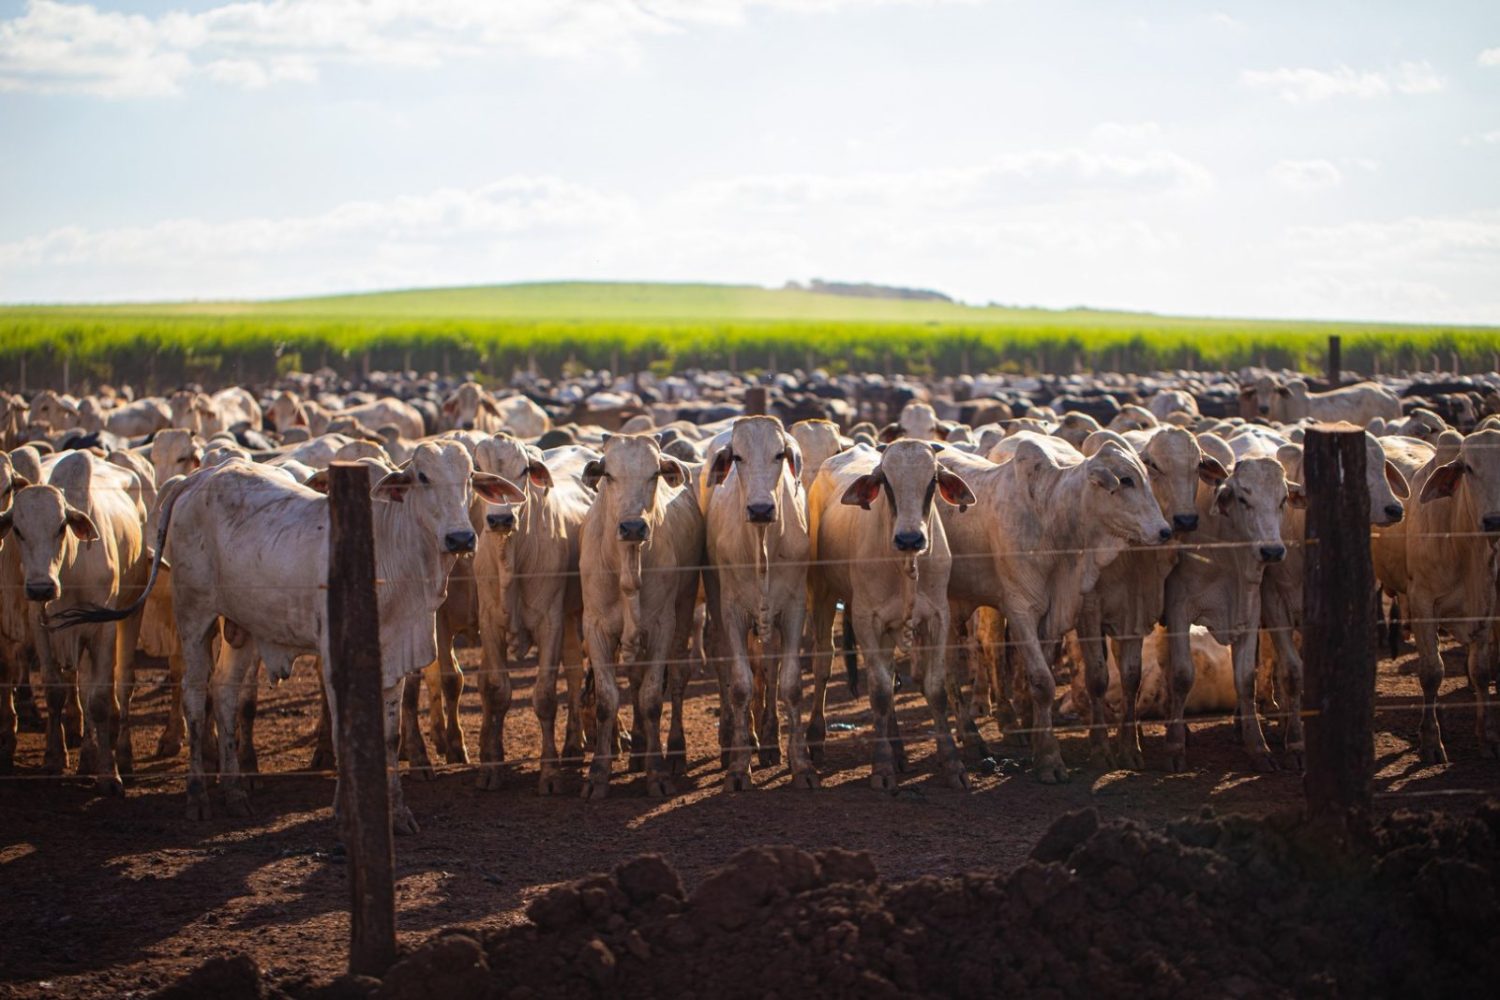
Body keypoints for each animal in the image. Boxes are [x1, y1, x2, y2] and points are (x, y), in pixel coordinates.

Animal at [52, 440, 525, 833]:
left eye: (469, 477)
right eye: (422, 477)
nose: (461, 537)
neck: (392, 556)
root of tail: (198, 478)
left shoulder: (396, 656)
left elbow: (390, 739)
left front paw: (398, 814)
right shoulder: (337, 657)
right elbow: (342, 732)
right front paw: (345, 812)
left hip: (242, 628)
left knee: (225, 694)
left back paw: (235, 792)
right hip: (195, 615)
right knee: (195, 696)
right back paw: (198, 796)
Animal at [804, 440, 978, 791]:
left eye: (932, 481)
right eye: (885, 481)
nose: (909, 538)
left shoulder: (938, 618)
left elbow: (934, 689)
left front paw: (953, 764)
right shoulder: (866, 621)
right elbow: (880, 692)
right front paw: (881, 767)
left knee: (890, 673)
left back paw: (899, 749)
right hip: (823, 593)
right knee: (824, 663)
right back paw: (817, 737)